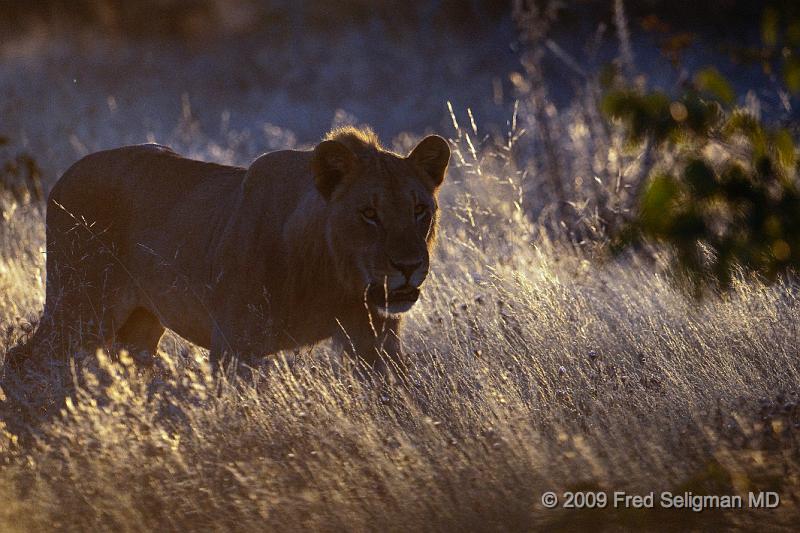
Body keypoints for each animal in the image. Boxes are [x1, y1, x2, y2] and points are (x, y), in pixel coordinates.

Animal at [9, 126, 450, 376]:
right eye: (369, 213)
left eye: (419, 211)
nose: (409, 266)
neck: (332, 278)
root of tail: (65, 173)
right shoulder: (236, 349)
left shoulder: (375, 340)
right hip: (79, 310)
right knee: (25, 358)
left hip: (137, 328)